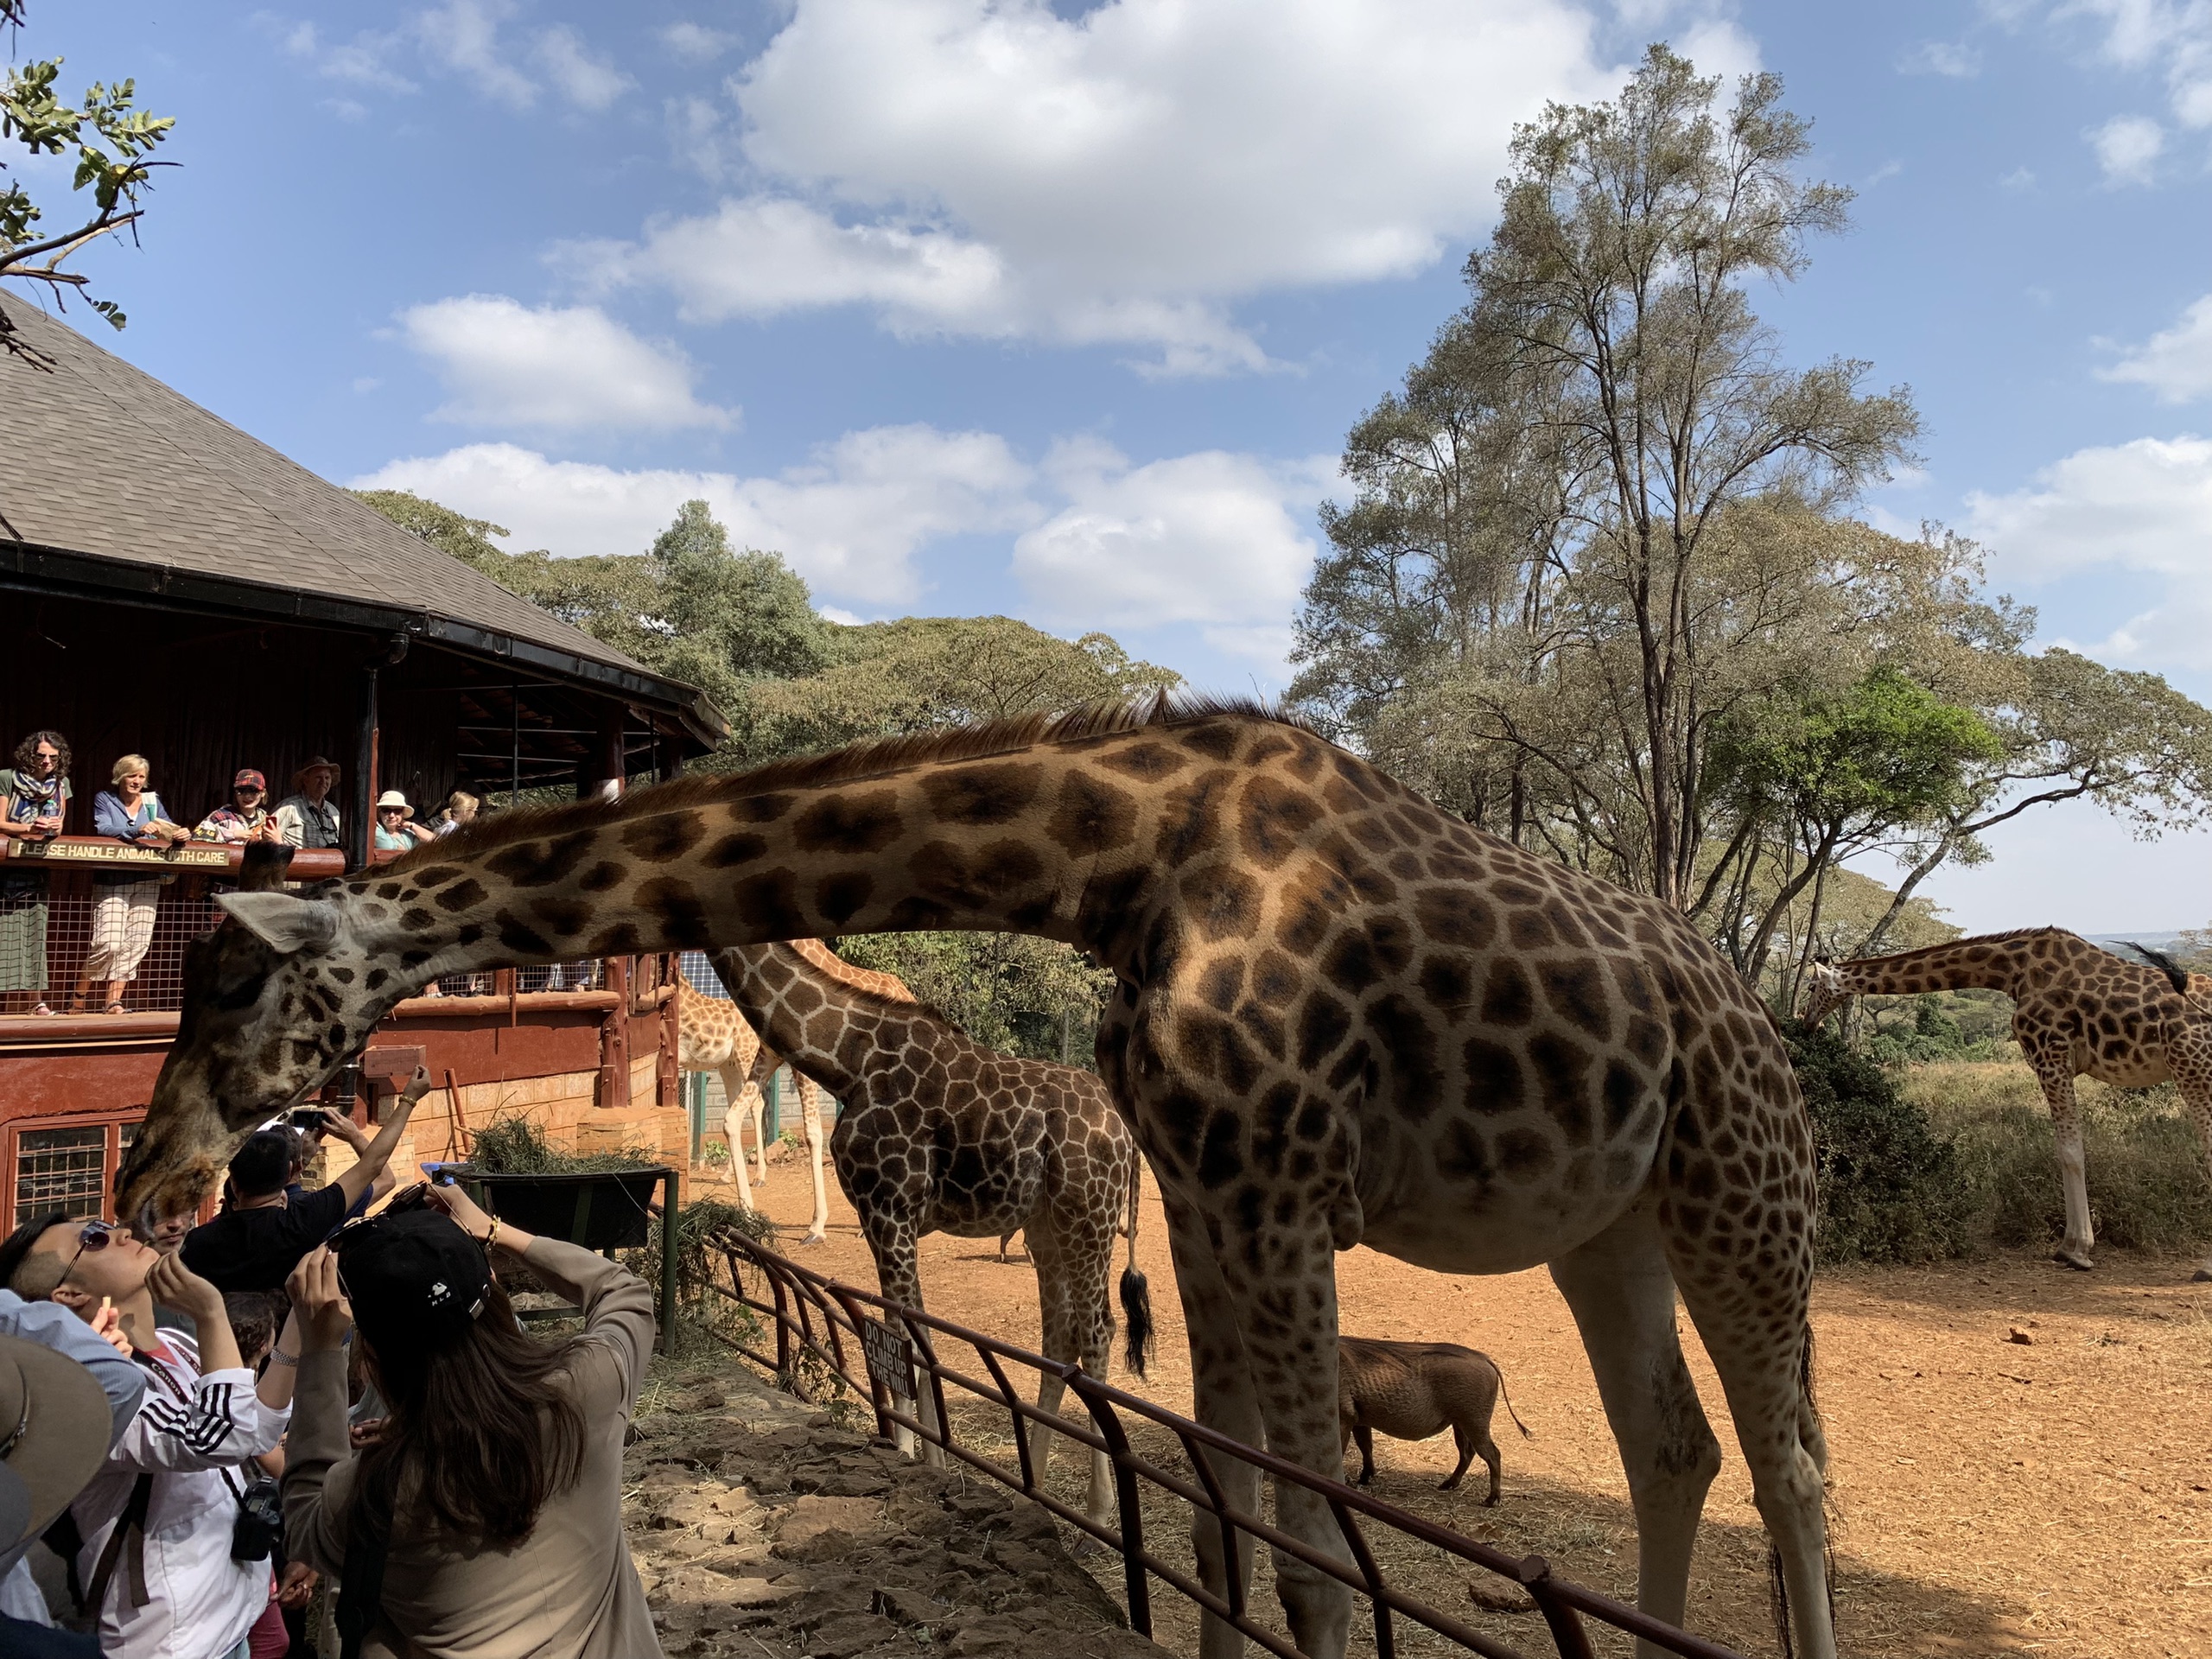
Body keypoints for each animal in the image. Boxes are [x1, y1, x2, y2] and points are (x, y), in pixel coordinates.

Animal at [712, 942, 1159, 1530]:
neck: (846, 1057)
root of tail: (1125, 1132)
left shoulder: (892, 1207)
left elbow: (911, 1333)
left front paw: (924, 1458)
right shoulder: (877, 1216)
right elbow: (895, 1324)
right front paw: (914, 1453)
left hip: (1089, 1214)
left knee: (1098, 1330)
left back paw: (1098, 1511)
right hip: (1045, 1225)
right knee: (1059, 1337)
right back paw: (1032, 1492)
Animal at [1804, 929, 2212, 1282]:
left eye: (1811, 987)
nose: (1805, 1022)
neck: (2011, 972)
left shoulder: (2051, 1056)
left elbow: (2071, 1151)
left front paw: (2079, 1251)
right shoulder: (2051, 1062)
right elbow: (2063, 1150)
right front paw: (2066, 1245)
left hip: (2191, 1068)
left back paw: (2206, 1266)